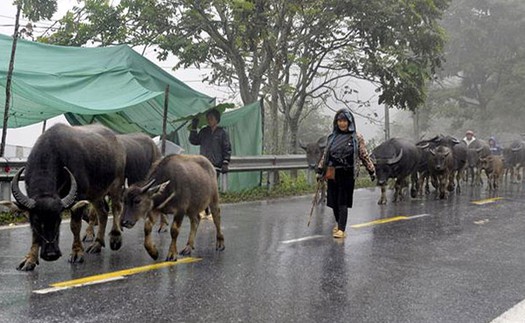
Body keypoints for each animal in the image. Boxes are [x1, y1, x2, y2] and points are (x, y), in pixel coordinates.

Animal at [2, 124, 126, 270]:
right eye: (37, 221)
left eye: (59, 219)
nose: (51, 254)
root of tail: (116, 140)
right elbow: (34, 233)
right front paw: (30, 259)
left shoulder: (79, 198)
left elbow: (75, 226)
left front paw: (77, 252)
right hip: (96, 193)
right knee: (103, 212)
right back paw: (97, 244)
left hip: (116, 184)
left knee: (117, 208)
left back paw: (115, 238)